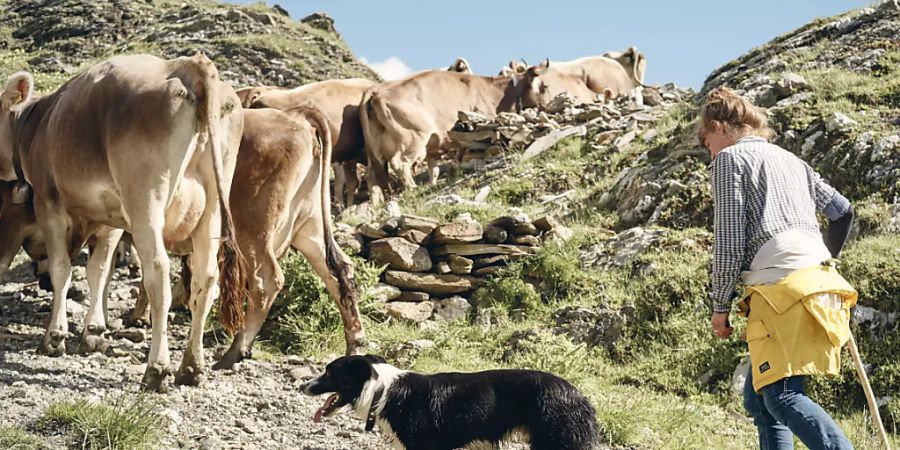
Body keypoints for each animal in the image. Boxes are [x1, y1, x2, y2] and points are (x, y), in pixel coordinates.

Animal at [0, 52, 246, 392]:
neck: (36, 127)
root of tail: (191, 67)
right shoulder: (111, 218)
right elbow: (99, 271)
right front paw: (92, 333)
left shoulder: (49, 205)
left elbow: (63, 269)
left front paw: (55, 337)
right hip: (210, 210)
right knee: (207, 278)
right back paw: (191, 367)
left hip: (146, 200)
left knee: (157, 272)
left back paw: (157, 368)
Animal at [360, 70, 528, 204]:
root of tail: (376, 91)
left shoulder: (435, 149)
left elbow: (434, 170)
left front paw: (434, 184)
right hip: (413, 139)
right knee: (400, 163)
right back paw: (412, 188)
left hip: (374, 151)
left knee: (371, 175)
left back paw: (375, 204)